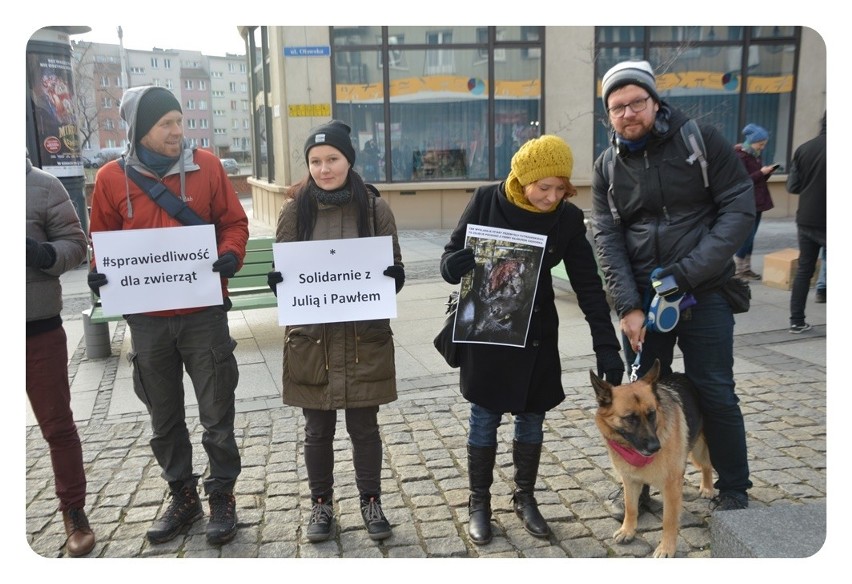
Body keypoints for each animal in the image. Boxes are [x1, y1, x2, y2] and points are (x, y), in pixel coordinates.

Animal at [588, 360, 716, 556]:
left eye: (652, 414)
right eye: (630, 418)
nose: (656, 447)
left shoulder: (670, 487)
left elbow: (669, 520)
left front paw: (666, 548)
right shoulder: (630, 481)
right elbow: (631, 507)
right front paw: (628, 531)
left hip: (700, 449)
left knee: (706, 465)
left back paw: (708, 488)